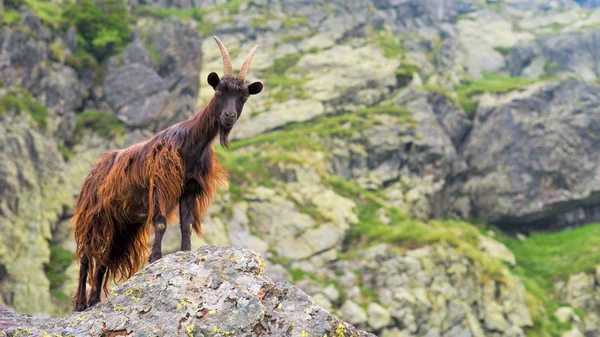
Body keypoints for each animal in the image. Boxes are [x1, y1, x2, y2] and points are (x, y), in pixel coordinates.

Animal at [71, 36, 262, 310]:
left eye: (244, 96)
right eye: (218, 91)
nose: (228, 115)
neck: (190, 144)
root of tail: (93, 171)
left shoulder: (189, 188)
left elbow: (186, 224)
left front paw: (185, 253)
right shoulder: (160, 184)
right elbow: (160, 223)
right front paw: (155, 258)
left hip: (121, 224)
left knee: (105, 259)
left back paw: (95, 300)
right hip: (93, 216)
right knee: (87, 255)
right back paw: (79, 303)